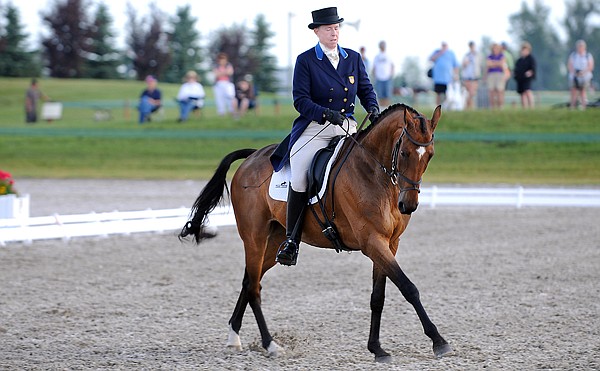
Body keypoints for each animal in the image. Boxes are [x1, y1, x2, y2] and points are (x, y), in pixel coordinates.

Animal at [180, 103, 452, 362]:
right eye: (404, 153)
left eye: (430, 156)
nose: (408, 205)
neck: (374, 174)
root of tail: (253, 156)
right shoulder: (372, 242)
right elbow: (408, 287)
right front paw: (438, 341)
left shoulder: (389, 243)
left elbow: (378, 297)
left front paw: (377, 349)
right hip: (254, 237)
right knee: (254, 289)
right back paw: (271, 345)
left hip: (275, 241)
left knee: (249, 281)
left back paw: (233, 338)